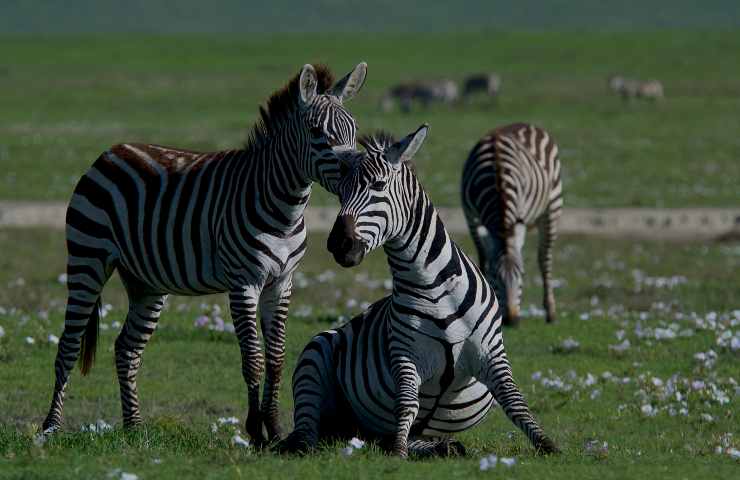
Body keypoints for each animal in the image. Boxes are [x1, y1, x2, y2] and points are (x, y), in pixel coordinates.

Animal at [462, 124, 560, 326]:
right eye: (493, 276)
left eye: (522, 275)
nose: (512, 320)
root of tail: (525, 124)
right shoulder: (471, 218)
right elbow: (483, 257)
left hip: (552, 206)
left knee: (545, 258)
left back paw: (550, 312)